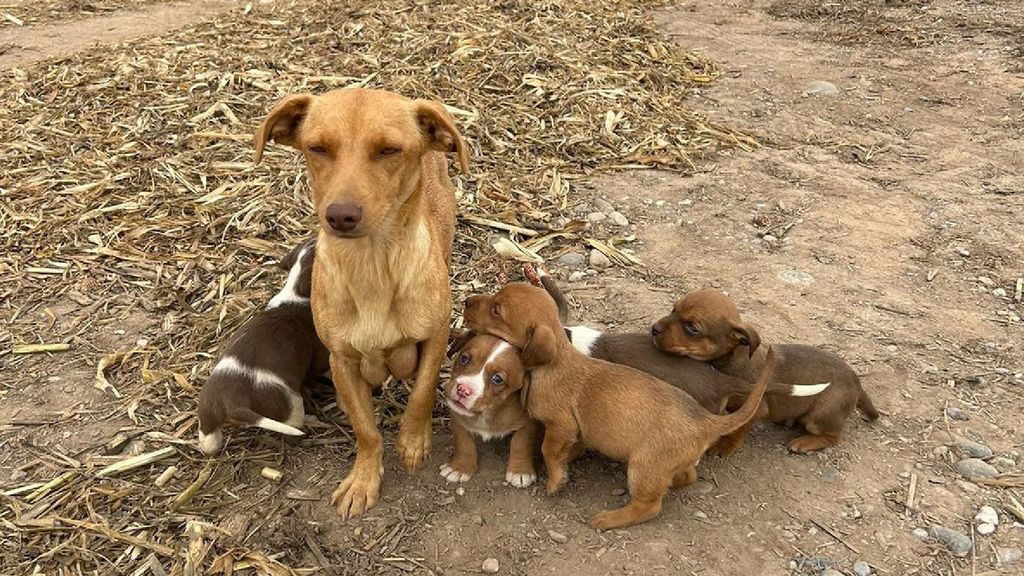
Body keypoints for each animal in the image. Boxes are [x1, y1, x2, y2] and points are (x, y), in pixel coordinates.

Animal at [195, 237, 327, 453]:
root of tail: (233, 403)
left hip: (207, 412)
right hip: (290, 404)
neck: (296, 292)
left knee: (209, 440)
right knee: (293, 430)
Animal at [253, 87, 468, 518]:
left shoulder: (435, 337)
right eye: (317, 148)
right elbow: (365, 430)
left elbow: (421, 393)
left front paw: (413, 441)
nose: (340, 215)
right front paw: (364, 479)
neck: (373, 268)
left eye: (389, 150)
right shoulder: (343, 360)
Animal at [440, 334, 544, 485]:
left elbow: (521, 444)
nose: (463, 390)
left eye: (497, 379)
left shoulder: (529, 423)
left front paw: (520, 471)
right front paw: (459, 468)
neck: (488, 412)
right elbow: (463, 443)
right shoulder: (458, 418)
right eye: (464, 359)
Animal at [464, 280, 774, 528]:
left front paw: (555, 481)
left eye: (497, 310)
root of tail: (707, 421)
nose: (466, 301)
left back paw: (608, 519)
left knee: (649, 506)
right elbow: (570, 449)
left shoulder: (561, 425)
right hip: (666, 465)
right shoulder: (576, 431)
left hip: (642, 467)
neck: (557, 360)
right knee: (688, 476)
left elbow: (549, 451)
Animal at [655, 289, 880, 450]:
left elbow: (738, 430)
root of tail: (856, 382)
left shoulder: (756, 408)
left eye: (692, 328)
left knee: (833, 436)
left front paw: (725, 448)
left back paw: (805, 442)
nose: (654, 329)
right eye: (673, 310)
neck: (731, 360)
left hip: (819, 417)